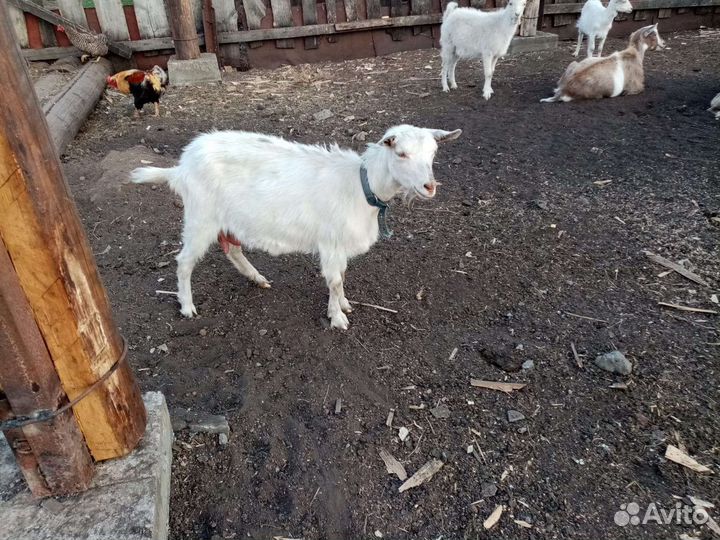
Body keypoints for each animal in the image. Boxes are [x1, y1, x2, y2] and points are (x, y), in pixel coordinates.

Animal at [130, 126, 462, 330]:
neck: (361, 185)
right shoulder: (330, 242)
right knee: (184, 262)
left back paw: (257, 278)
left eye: (433, 153)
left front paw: (344, 305)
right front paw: (337, 318)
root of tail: (180, 168)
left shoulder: (339, 245)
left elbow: (341, 277)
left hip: (226, 219)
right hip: (200, 217)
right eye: (401, 153)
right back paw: (187, 306)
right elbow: (334, 280)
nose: (429, 187)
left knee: (232, 249)